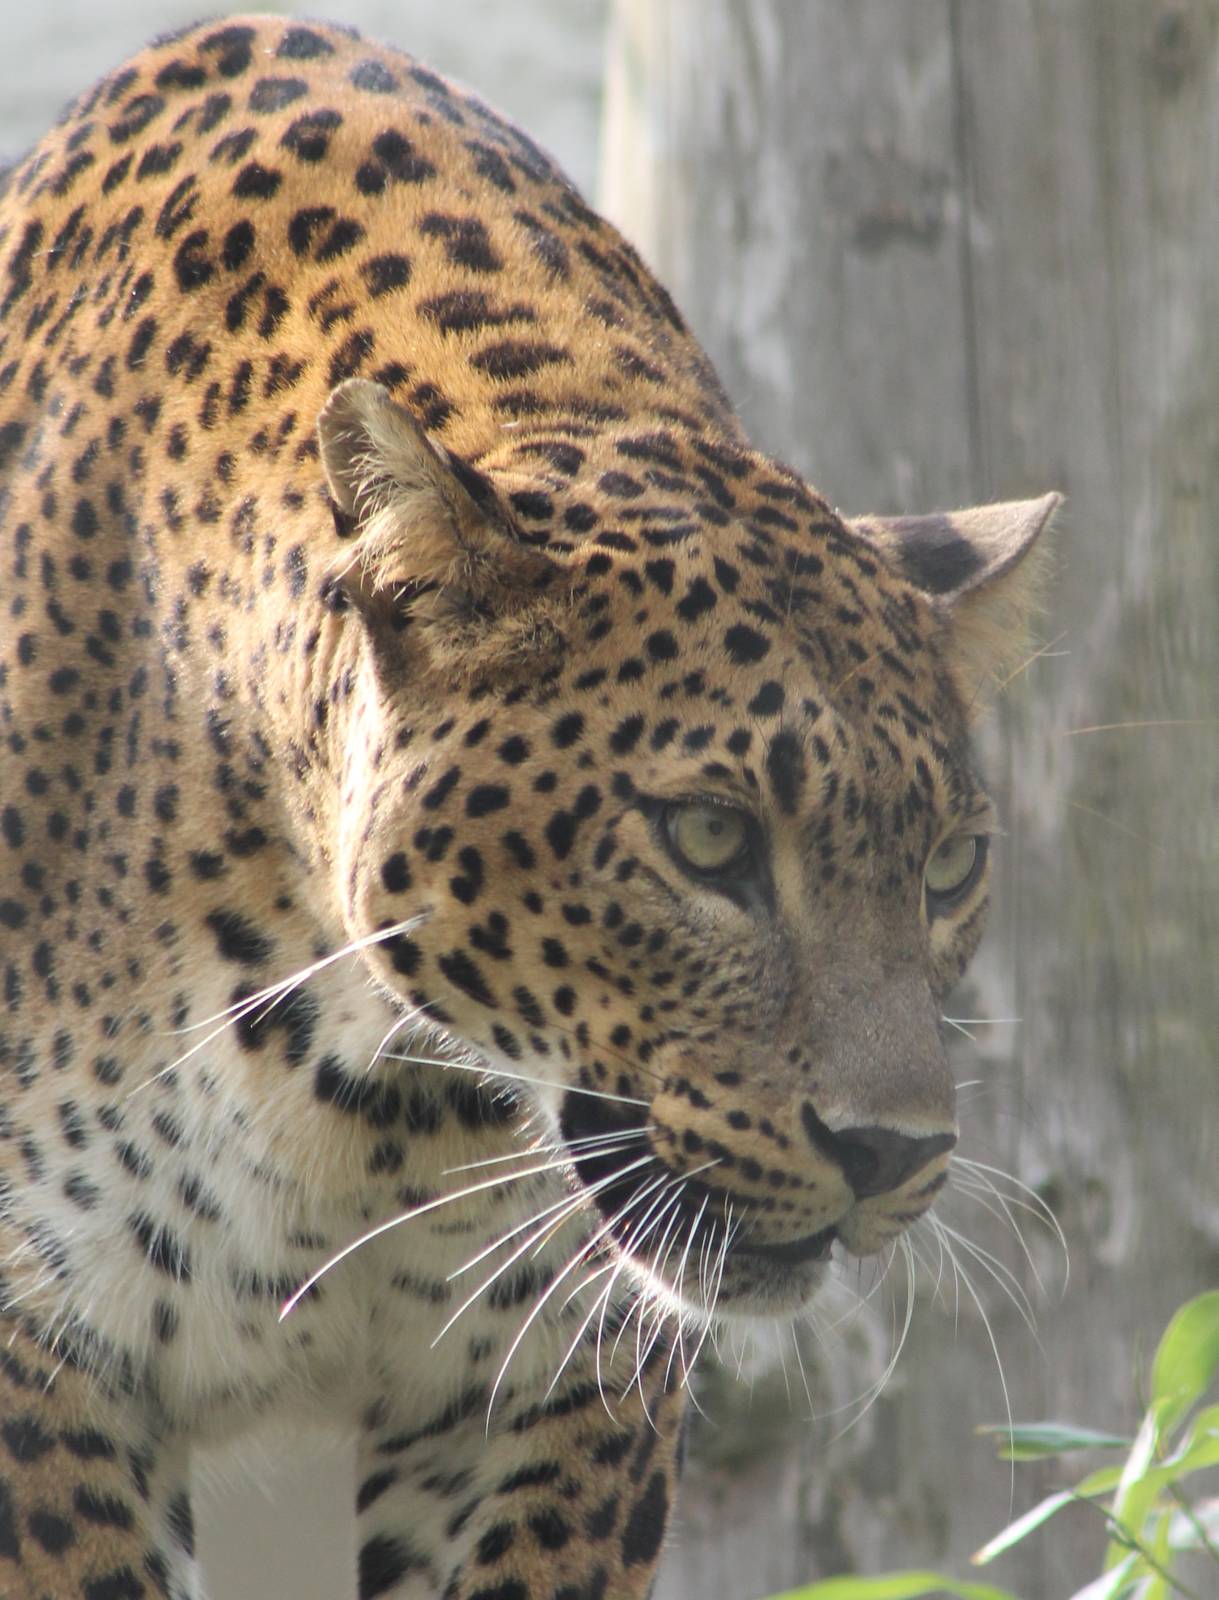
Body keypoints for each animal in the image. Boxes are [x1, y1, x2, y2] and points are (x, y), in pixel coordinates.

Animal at [0, 15, 1058, 1600]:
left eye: (944, 871)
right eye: (706, 839)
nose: (892, 1156)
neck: (363, 1096)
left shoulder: (561, 1375)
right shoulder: (46, 1361)